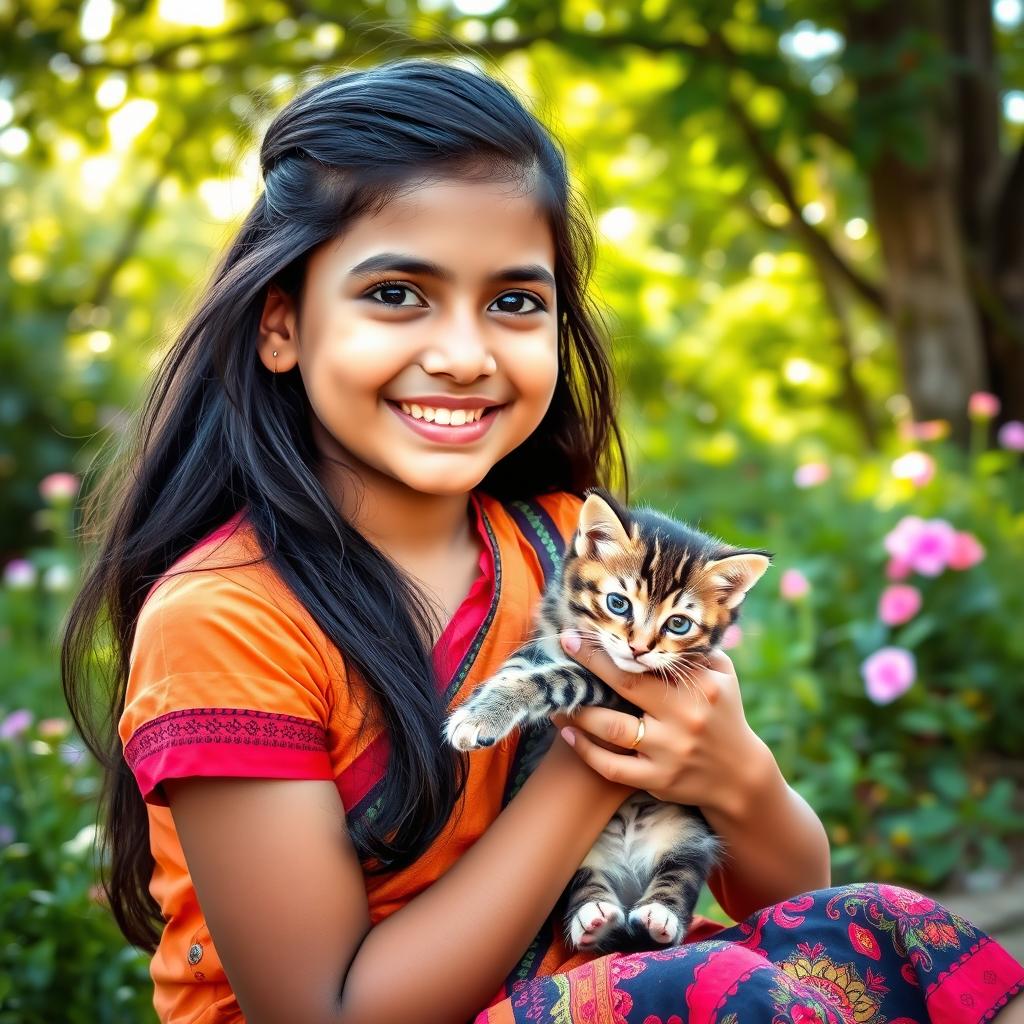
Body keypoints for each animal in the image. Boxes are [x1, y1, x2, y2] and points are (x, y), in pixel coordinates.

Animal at [440, 485, 770, 950]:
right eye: (618, 603)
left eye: (679, 624)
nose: (640, 648)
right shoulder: (549, 638)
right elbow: (521, 665)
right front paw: (485, 706)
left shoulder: (616, 691)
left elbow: (560, 677)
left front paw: (486, 714)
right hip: (577, 854)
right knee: (585, 882)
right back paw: (593, 914)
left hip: (689, 834)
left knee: (681, 871)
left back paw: (657, 916)